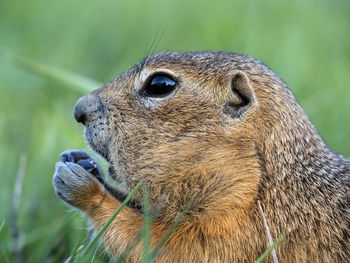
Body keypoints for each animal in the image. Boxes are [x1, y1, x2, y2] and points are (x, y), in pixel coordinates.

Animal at [52, 52, 350, 263]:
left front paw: (85, 188)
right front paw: (81, 163)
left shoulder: (241, 232)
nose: (79, 110)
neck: (262, 183)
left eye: (160, 84)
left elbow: (171, 249)